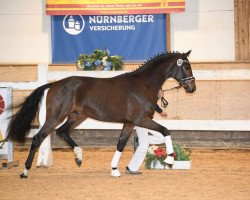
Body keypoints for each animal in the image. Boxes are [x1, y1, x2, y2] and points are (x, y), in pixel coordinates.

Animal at [6, 50, 196, 178]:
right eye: (186, 66)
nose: (192, 88)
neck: (143, 85)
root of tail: (53, 84)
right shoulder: (141, 120)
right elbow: (165, 131)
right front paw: (170, 160)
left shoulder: (129, 123)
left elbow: (120, 144)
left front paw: (114, 170)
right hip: (54, 117)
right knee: (38, 138)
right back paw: (25, 171)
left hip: (77, 116)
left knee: (62, 132)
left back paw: (79, 157)